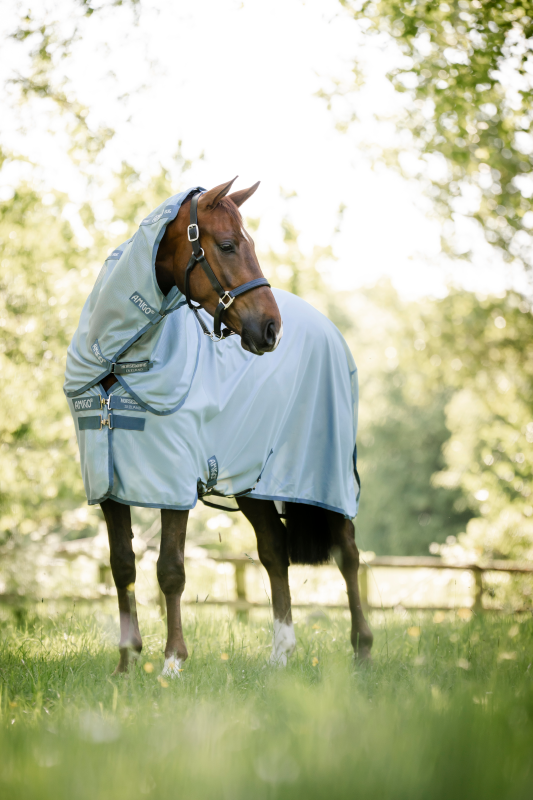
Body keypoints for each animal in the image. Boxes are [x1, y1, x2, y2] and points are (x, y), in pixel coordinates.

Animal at [66, 178, 373, 676]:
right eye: (228, 245)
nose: (271, 329)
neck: (116, 363)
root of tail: (330, 332)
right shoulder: (109, 485)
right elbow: (122, 566)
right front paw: (126, 664)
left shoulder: (173, 483)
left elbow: (170, 570)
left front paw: (172, 662)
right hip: (253, 485)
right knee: (274, 550)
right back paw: (281, 654)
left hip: (325, 477)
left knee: (347, 552)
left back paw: (363, 649)